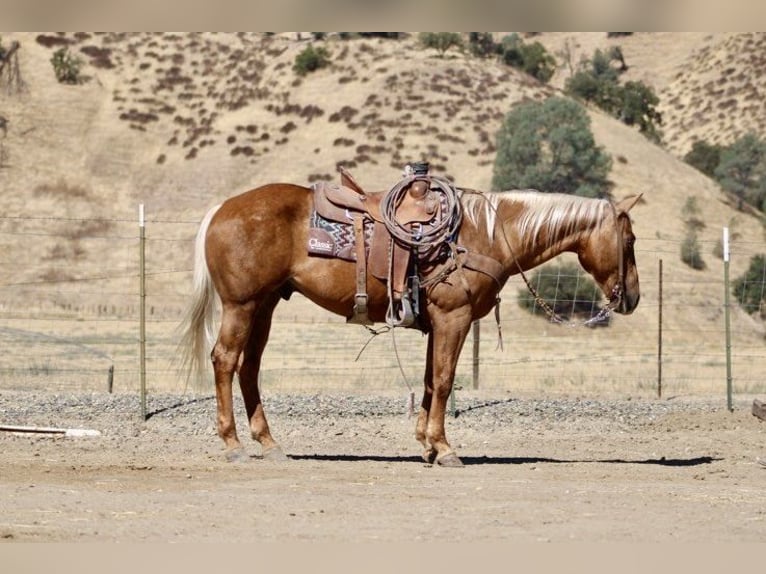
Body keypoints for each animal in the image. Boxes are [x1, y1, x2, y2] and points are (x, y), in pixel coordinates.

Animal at [179, 181, 640, 467]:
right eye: (630, 240)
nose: (632, 298)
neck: (486, 235)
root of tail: (222, 209)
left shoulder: (437, 322)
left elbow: (430, 381)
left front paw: (427, 445)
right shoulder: (454, 318)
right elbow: (446, 380)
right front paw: (445, 448)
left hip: (265, 304)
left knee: (249, 368)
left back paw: (269, 444)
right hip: (241, 304)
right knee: (225, 360)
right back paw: (233, 444)